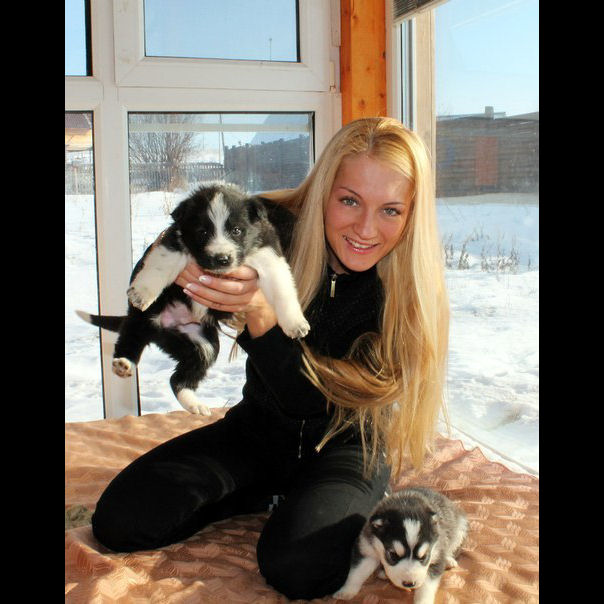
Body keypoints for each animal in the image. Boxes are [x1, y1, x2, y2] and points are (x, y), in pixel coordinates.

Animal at [76, 183, 310, 415]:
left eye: (236, 230)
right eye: (203, 232)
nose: (222, 259)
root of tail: (163, 327)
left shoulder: (269, 256)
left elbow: (282, 290)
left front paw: (295, 324)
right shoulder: (174, 242)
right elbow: (159, 266)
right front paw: (142, 292)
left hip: (203, 346)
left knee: (178, 379)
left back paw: (195, 405)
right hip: (142, 318)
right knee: (130, 339)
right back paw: (123, 363)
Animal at [334, 487, 467, 603]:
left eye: (424, 557)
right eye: (393, 555)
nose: (409, 584)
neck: (406, 501)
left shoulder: (437, 555)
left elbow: (426, 587)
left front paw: (423, 600)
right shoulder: (368, 549)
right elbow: (358, 572)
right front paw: (346, 591)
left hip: (460, 529)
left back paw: (449, 560)